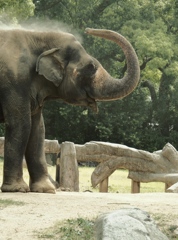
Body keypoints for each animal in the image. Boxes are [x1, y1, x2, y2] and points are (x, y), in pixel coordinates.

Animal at [0, 28, 140, 193]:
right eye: (91, 67)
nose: (88, 30)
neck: (38, 35)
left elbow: (38, 130)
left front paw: (45, 190)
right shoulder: (14, 83)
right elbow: (21, 125)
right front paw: (17, 189)